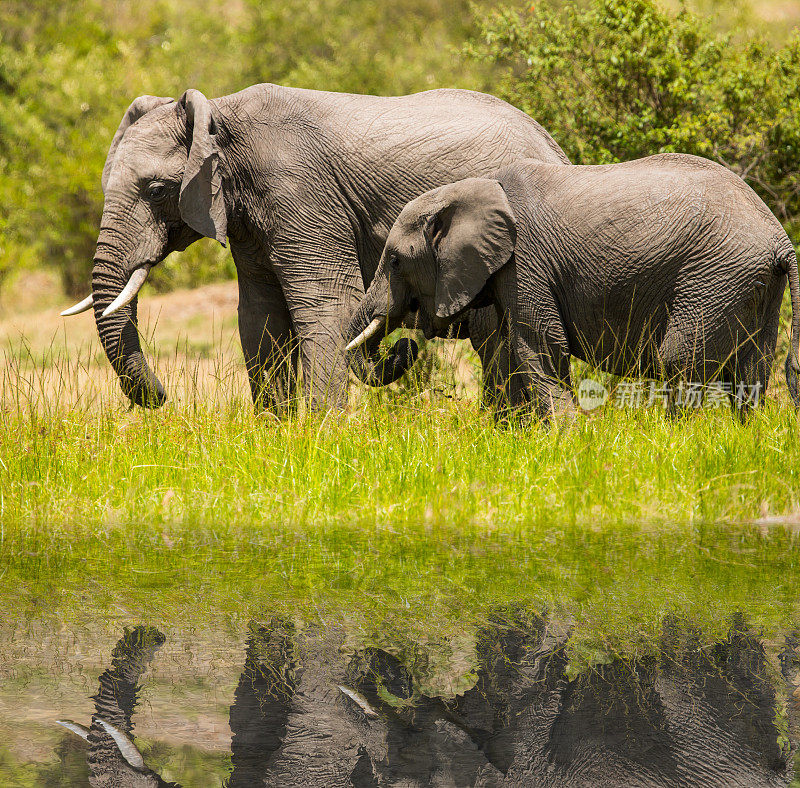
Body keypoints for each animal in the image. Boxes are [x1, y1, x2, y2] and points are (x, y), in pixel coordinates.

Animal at [57, 84, 568, 412]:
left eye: (158, 190)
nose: (165, 398)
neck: (221, 114)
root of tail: (553, 144)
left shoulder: (300, 192)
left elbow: (326, 303)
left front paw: (325, 437)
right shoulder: (248, 219)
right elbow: (259, 316)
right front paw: (274, 433)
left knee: (494, 337)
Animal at [346, 156, 796, 422]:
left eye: (395, 260)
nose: (403, 347)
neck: (470, 188)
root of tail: (780, 240)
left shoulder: (525, 262)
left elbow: (537, 344)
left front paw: (564, 439)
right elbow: (509, 348)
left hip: (714, 277)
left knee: (679, 359)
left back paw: (676, 439)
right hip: (750, 287)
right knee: (752, 370)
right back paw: (744, 436)